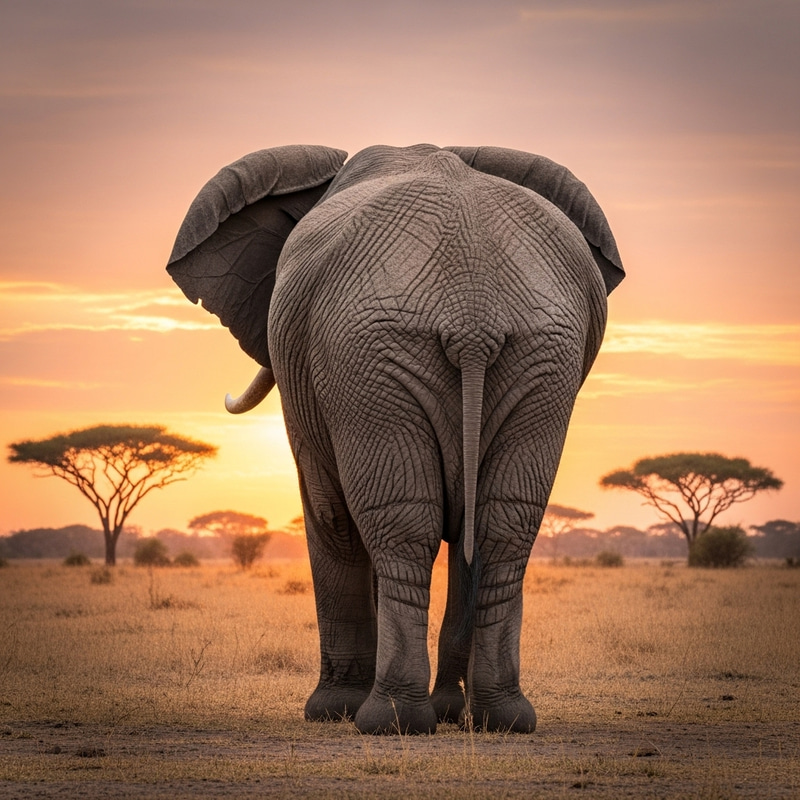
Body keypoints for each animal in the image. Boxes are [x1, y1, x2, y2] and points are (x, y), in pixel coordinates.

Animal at [167, 143, 624, 734]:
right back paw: (498, 718)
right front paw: (448, 711)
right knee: (501, 527)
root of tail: (473, 317)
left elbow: (329, 512)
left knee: (399, 524)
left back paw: (388, 719)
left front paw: (331, 711)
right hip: (540, 357)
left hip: (368, 354)